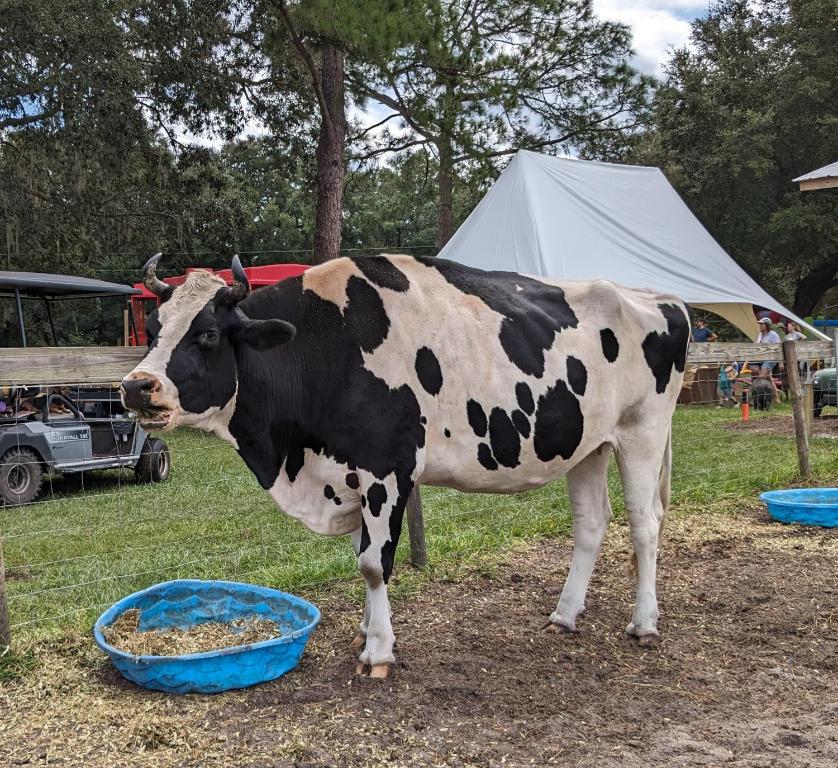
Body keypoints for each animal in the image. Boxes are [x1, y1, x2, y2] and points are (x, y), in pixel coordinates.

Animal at [124, 254, 688, 680]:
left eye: (208, 334)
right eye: (152, 329)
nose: (135, 386)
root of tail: (661, 298)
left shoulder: (386, 469)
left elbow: (374, 563)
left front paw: (378, 651)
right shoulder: (349, 476)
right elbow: (361, 556)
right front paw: (368, 629)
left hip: (643, 431)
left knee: (645, 524)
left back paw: (644, 623)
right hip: (588, 445)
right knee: (591, 524)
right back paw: (564, 616)